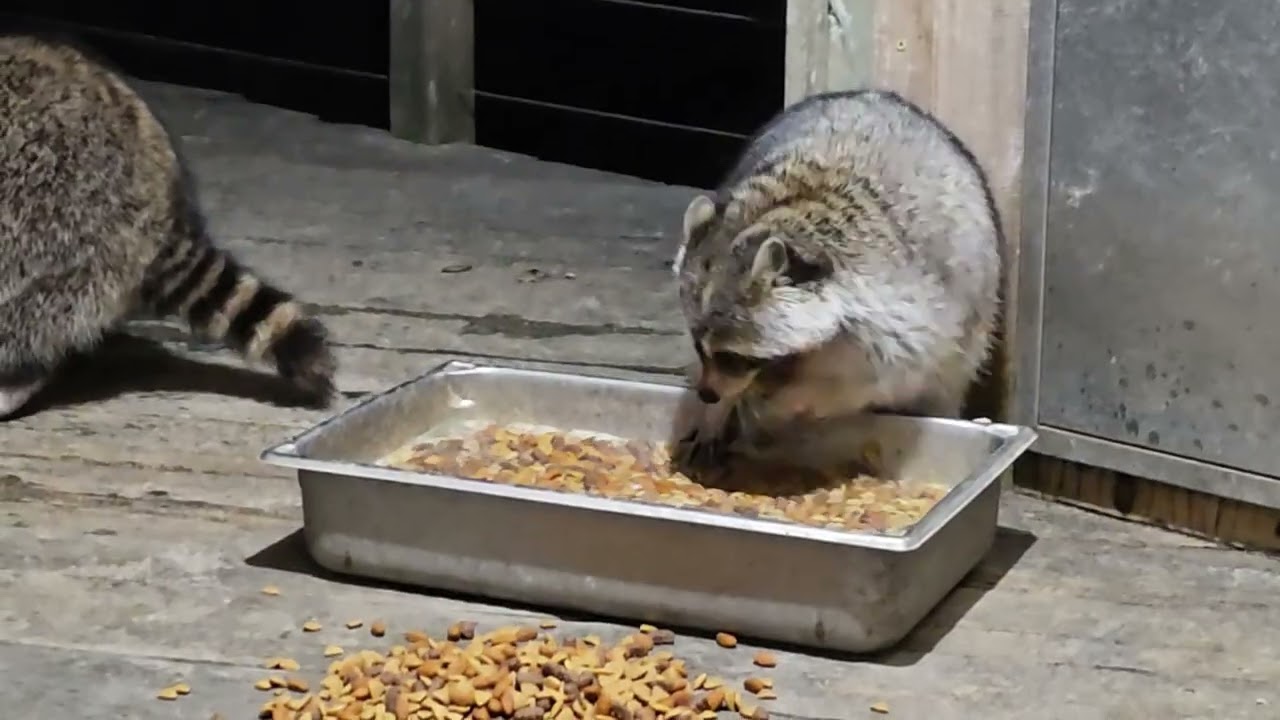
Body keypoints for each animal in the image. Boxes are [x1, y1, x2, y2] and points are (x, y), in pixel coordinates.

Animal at [671, 89, 1002, 470]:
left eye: (732, 357)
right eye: (700, 348)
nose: (706, 394)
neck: (775, 214)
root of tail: (874, 96)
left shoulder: (896, 311)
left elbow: (877, 376)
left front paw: (787, 398)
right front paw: (718, 410)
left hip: (974, 317)